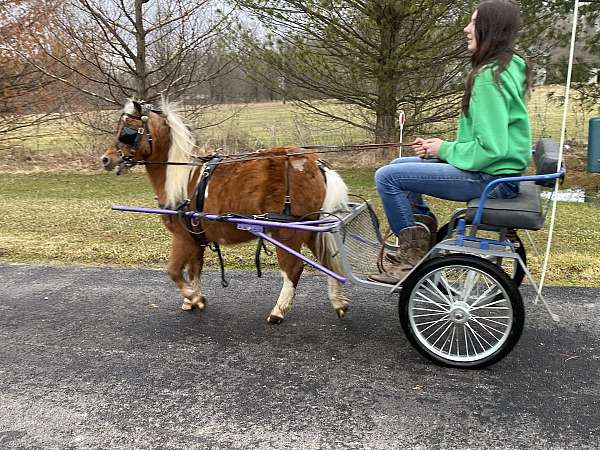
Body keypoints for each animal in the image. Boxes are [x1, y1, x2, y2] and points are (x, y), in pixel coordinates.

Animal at [101, 100, 350, 322]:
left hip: (288, 233)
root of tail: (316, 163)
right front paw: (193, 299)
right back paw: (339, 303)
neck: (183, 178)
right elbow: (194, 269)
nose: (106, 159)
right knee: (328, 262)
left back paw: (278, 312)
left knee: (293, 269)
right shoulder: (196, 239)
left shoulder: (182, 237)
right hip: (312, 229)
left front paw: (193, 297)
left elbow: (173, 270)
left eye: (127, 132)